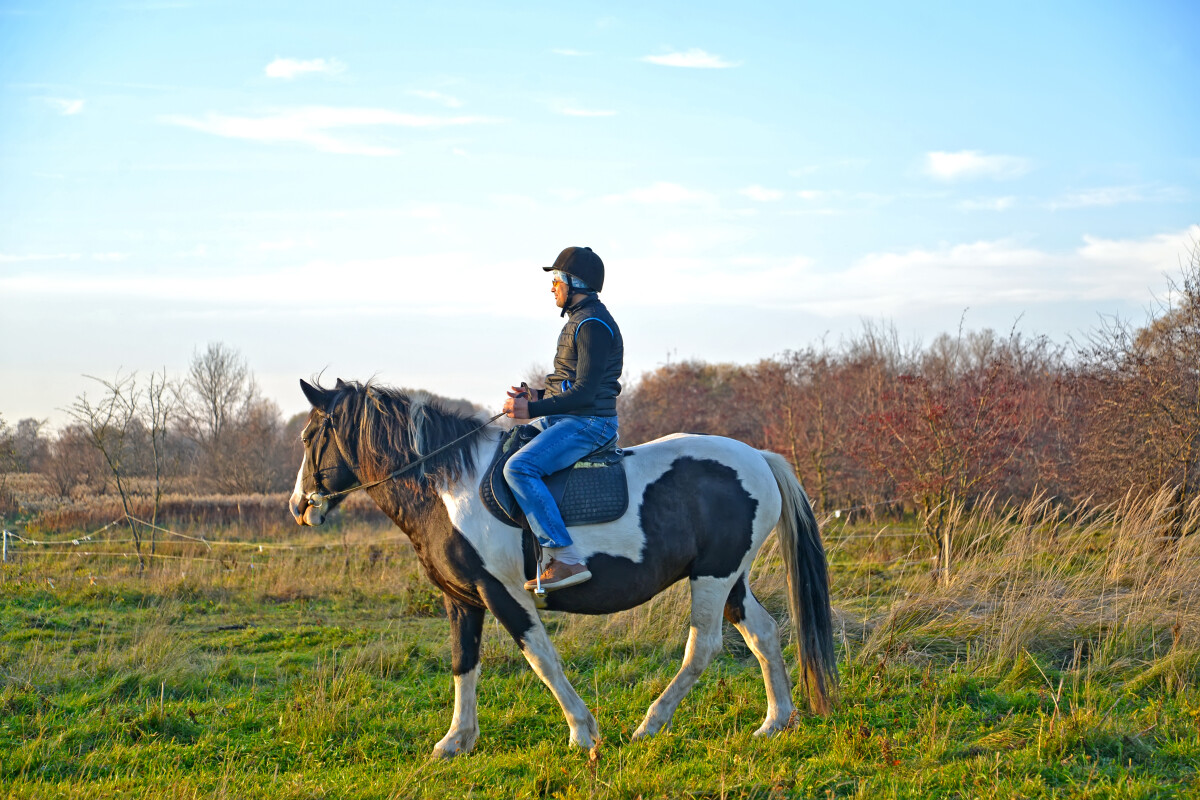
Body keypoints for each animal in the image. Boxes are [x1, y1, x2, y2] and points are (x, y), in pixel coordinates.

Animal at [289, 381, 835, 758]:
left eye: (311, 435)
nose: (299, 506)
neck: (449, 488)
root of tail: (758, 458)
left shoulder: (502, 592)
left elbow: (541, 659)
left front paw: (583, 733)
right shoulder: (462, 598)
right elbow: (464, 663)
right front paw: (456, 741)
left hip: (714, 578)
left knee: (703, 647)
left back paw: (651, 724)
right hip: (728, 577)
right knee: (763, 633)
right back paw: (775, 722)